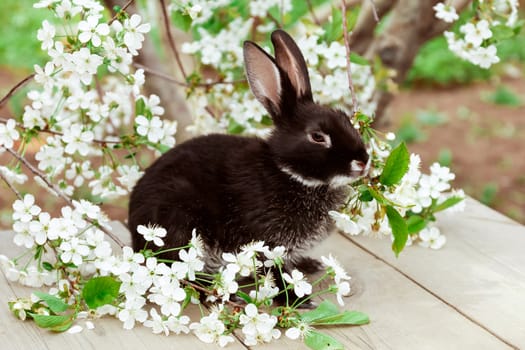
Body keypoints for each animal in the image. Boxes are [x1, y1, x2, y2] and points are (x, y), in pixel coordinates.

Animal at [129, 29, 368, 276]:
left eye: (346, 118)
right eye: (318, 137)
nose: (363, 162)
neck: (289, 174)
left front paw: (308, 265)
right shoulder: (266, 242)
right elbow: (272, 268)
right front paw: (287, 286)